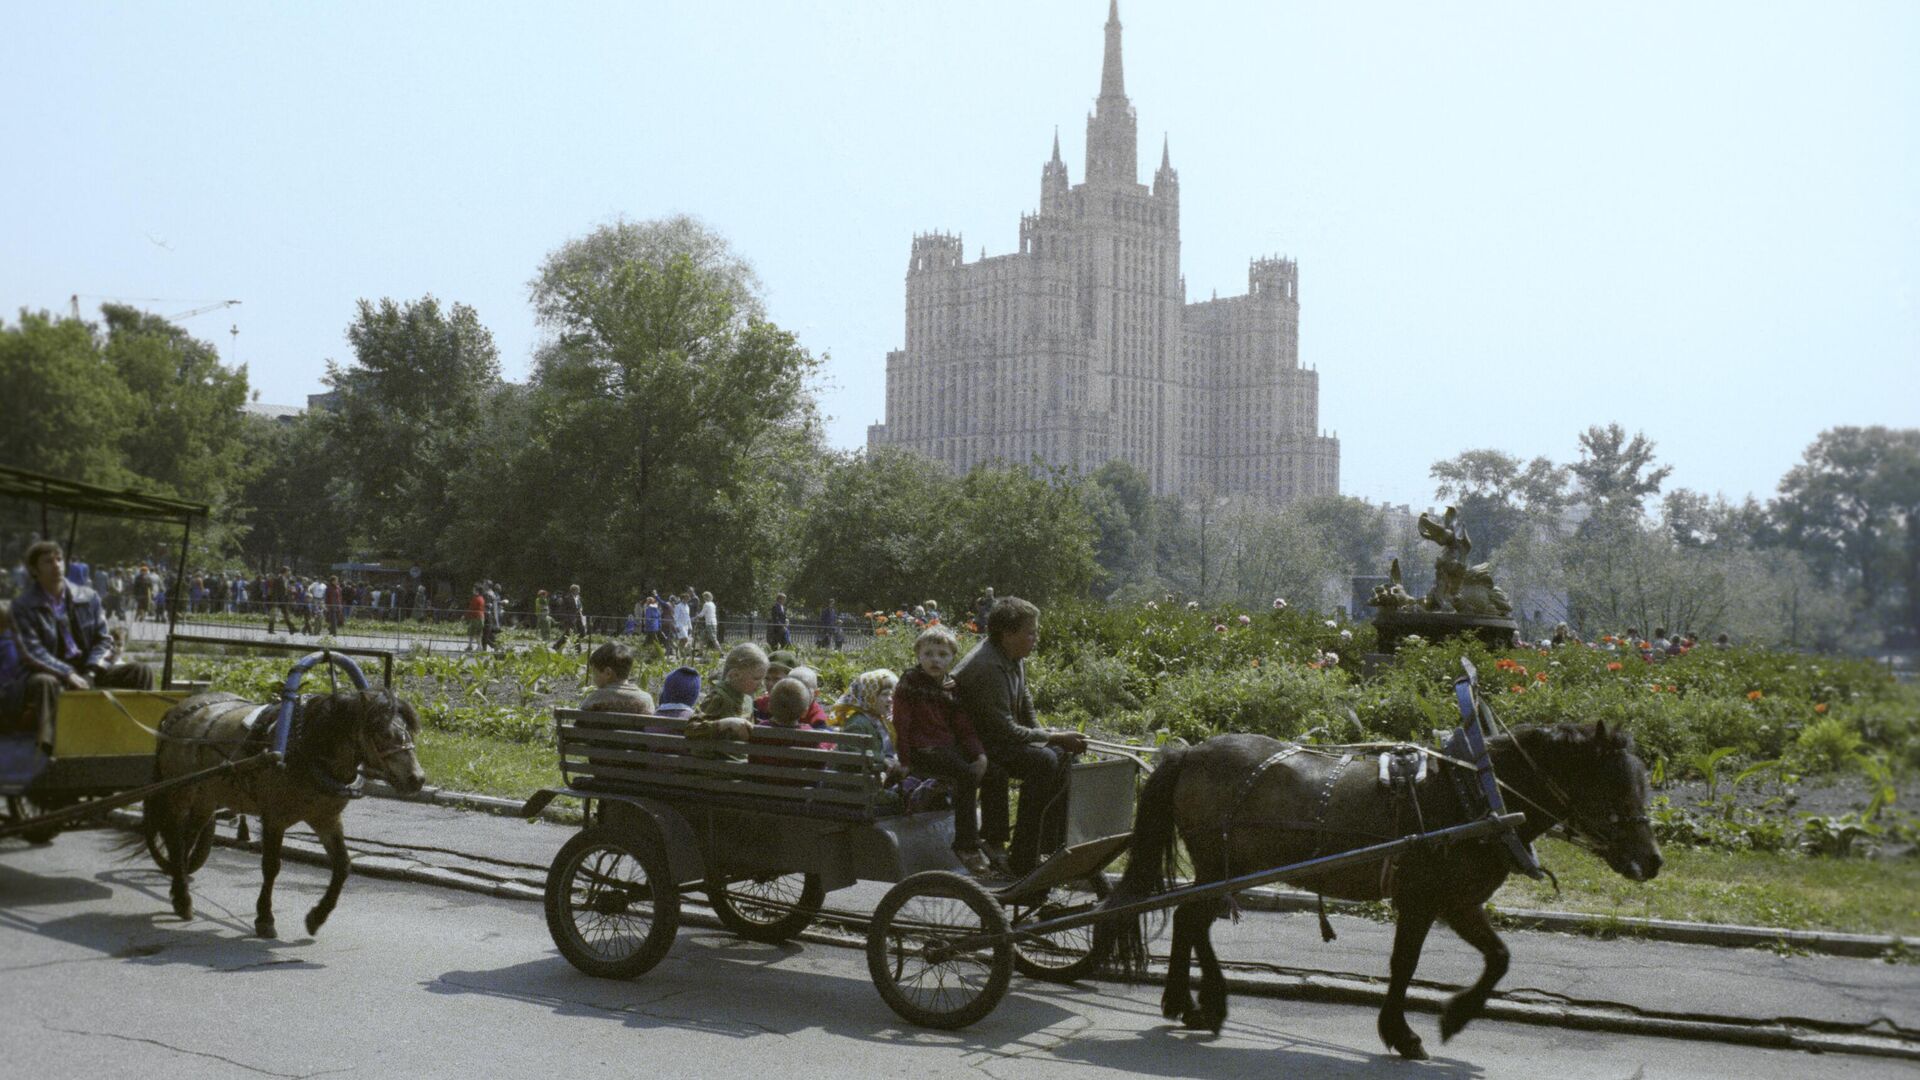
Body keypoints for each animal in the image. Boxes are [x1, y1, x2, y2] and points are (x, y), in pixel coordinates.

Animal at [140, 687, 428, 933]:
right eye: (383, 734)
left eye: (410, 732)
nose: (417, 778)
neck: (306, 746)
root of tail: (177, 711)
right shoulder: (274, 819)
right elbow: (271, 866)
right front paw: (264, 918)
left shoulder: (326, 818)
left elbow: (342, 866)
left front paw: (317, 916)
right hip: (180, 790)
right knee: (175, 838)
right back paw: (181, 897)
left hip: (206, 797)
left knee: (188, 837)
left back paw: (180, 888)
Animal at [1113, 718, 1666, 1053]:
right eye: (1615, 788)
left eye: (1645, 784)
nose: (1652, 861)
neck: (1476, 796)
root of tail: (1190, 752)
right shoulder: (1422, 900)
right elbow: (1405, 964)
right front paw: (1403, 1032)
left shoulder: (1458, 903)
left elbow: (1499, 958)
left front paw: (1455, 1016)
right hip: (1220, 868)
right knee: (1192, 919)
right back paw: (1209, 1005)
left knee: (1187, 920)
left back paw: (1184, 1003)